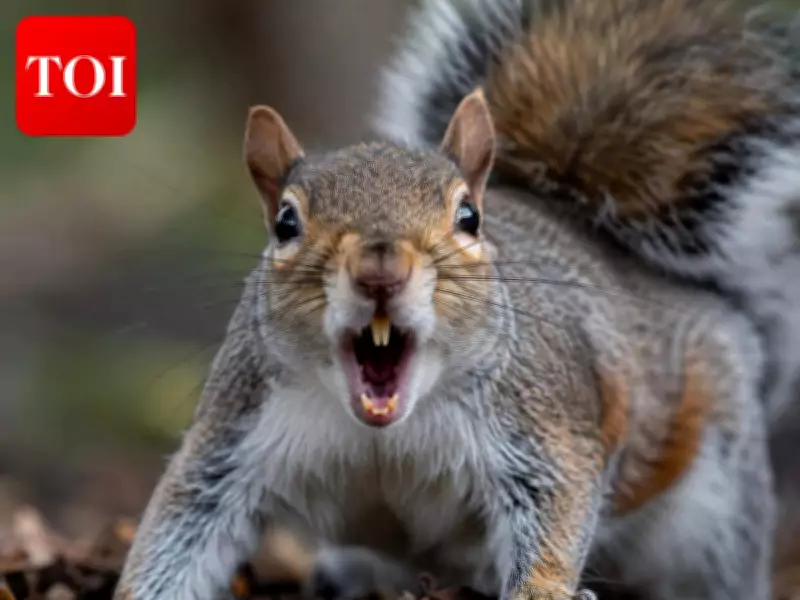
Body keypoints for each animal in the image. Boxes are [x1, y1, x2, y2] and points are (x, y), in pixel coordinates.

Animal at [115, 1, 800, 600]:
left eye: (468, 216)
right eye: (285, 223)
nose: (380, 268)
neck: (390, 427)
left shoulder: (544, 423)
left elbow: (558, 504)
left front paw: (543, 590)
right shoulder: (233, 435)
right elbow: (182, 526)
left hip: (716, 509)